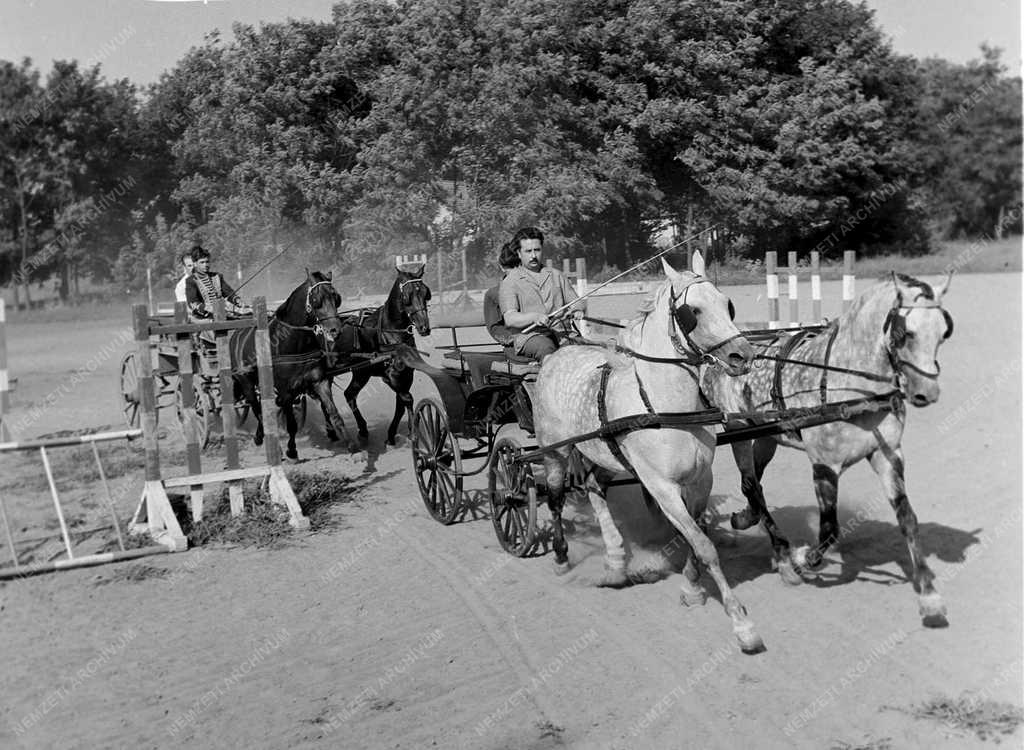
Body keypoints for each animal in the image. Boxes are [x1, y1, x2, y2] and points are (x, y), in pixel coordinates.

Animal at [232, 268, 356, 456]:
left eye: (337, 297)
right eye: (316, 299)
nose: (335, 330)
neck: (293, 342)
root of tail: (236, 333)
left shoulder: (319, 381)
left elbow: (333, 413)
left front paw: (350, 444)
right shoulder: (285, 389)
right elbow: (291, 423)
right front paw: (291, 450)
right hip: (245, 381)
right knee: (256, 407)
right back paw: (264, 439)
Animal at [329, 262, 430, 444]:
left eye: (426, 293)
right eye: (408, 295)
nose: (424, 327)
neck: (390, 332)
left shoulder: (406, 374)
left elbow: (400, 404)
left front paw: (391, 435)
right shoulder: (391, 376)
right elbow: (407, 399)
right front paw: (413, 432)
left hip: (361, 373)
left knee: (349, 394)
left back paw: (362, 430)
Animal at [536, 252, 761, 651]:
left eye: (728, 303)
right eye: (692, 311)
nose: (743, 356)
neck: (665, 407)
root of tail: (557, 354)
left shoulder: (700, 481)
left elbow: (696, 537)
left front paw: (691, 588)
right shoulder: (661, 487)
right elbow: (704, 545)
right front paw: (741, 622)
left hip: (603, 452)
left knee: (594, 487)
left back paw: (615, 559)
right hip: (554, 452)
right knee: (556, 497)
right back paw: (562, 556)